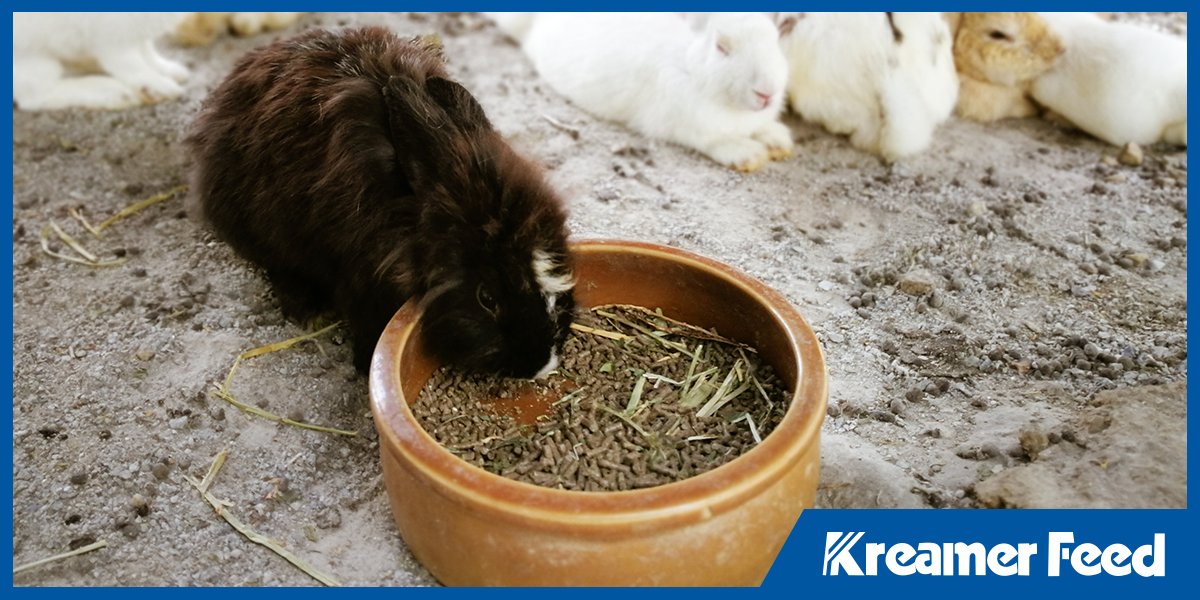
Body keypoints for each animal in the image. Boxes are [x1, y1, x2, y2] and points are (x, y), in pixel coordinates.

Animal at [13, 12, 189, 111]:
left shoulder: (138, 33)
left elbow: (147, 51)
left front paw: (172, 72)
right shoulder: (114, 39)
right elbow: (132, 65)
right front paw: (161, 87)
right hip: (30, 54)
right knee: (36, 96)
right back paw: (115, 93)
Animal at [185, 27, 576, 378]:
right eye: (487, 298)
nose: (542, 366)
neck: (412, 211)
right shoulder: (357, 278)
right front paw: (364, 363)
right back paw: (310, 310)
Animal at [510, 12, 792, 172]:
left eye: (776, 40)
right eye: (721, 47)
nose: (767, 92)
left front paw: (779, 142)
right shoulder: (685, 125)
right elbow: (713, 141)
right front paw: (751, 155)